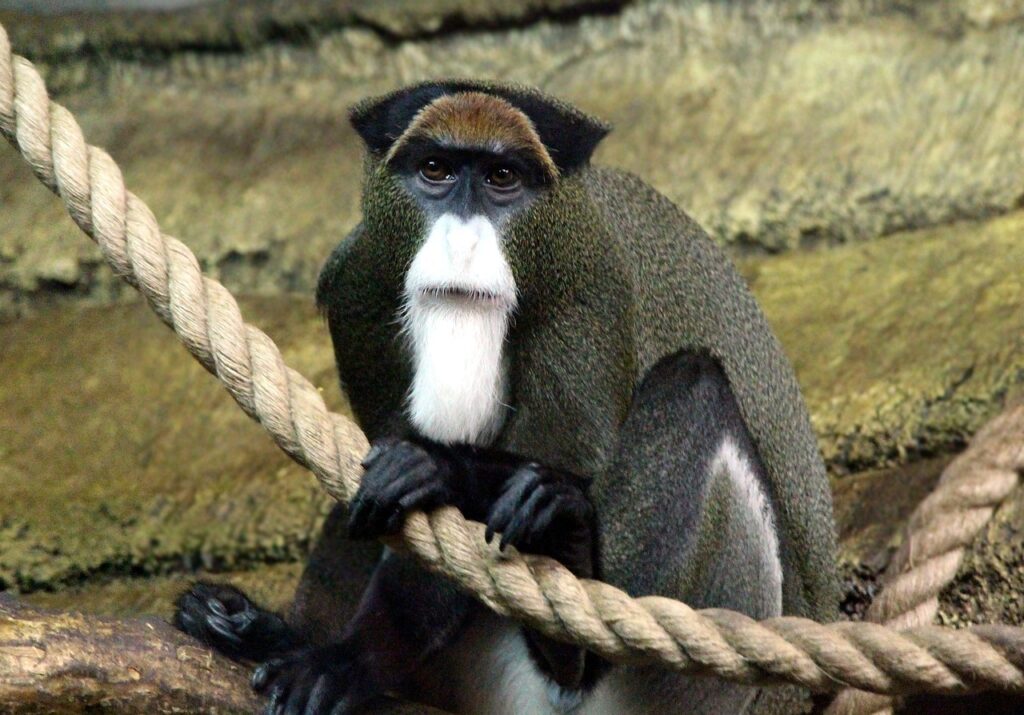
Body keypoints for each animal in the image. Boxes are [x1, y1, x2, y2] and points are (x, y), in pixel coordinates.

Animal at [174, 80, 839, 715]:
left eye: (502, 178)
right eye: (436, 169)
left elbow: (562, 466)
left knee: (694, 390)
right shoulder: (359, 278)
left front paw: (352, 658)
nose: (463, 243)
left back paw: (568, 632)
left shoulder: (589, 296)